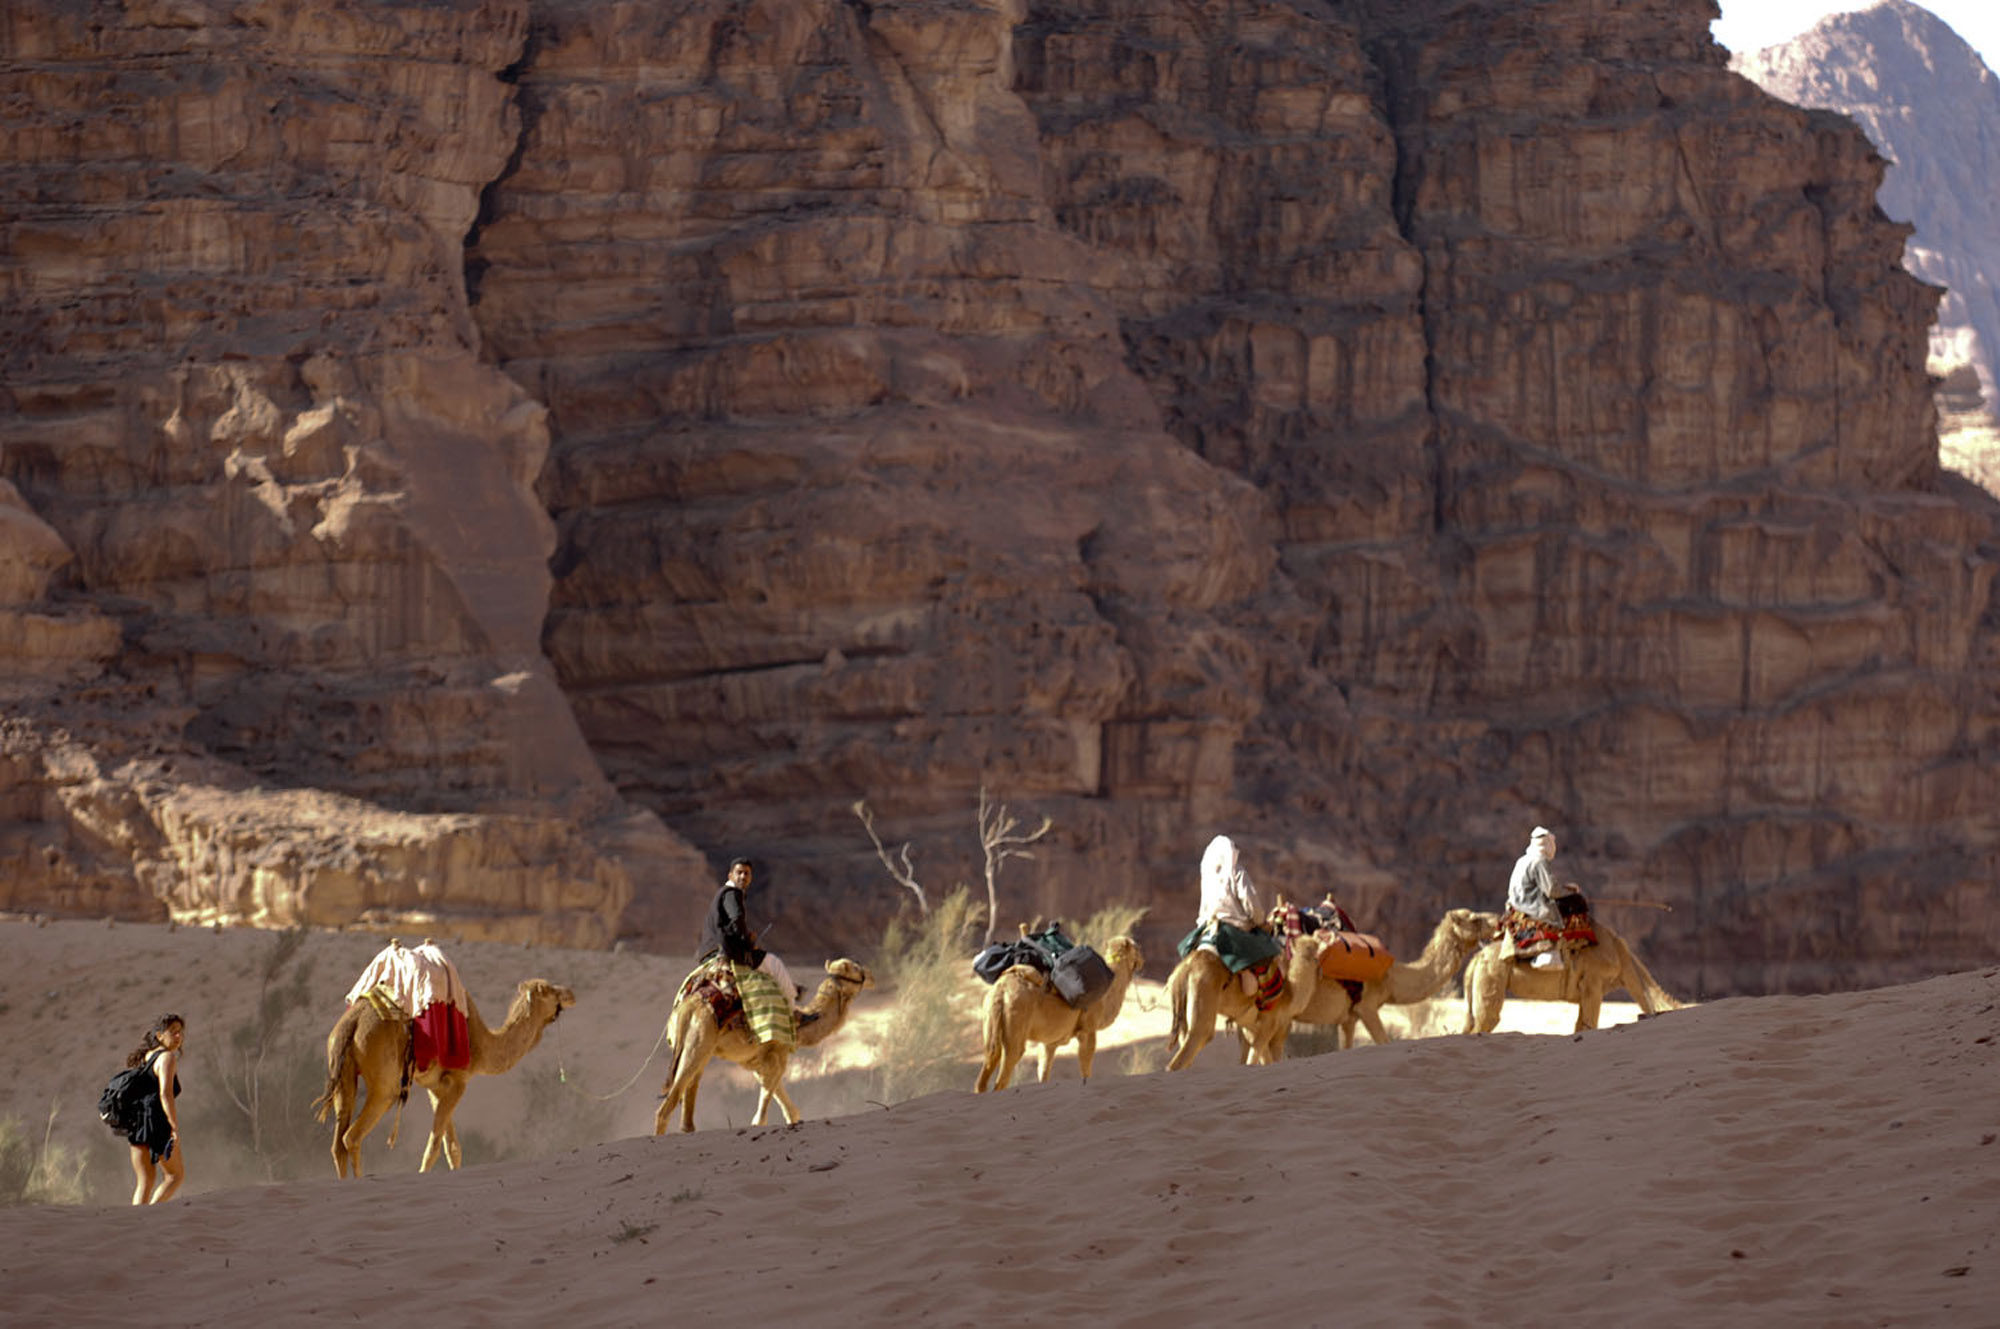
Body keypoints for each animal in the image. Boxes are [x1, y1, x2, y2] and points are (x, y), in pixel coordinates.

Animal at [312, 972, 576, 1176]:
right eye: (549, 990)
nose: (571, 993)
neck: (481, 1043)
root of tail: (353, 1023)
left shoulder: (437, 1087)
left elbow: (453, 1148)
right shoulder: (458, 1082)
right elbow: (434, 1148)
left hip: (343, 1074)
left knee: (338, 1143)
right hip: (385, 1084)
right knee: (352, 1137)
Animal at [656, 956, 876, 1128]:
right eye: (857, 969)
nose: (872, 976)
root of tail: (688, 1006)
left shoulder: (758, 1062)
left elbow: (791, 1111)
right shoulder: (777, 1056)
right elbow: (760, 1119)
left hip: (699, 1051)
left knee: (687, 1119)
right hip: (697, 1046)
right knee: (665, 1109)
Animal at [976, 932, 1152, 1088]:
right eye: (1138, 947)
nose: (1143, 961)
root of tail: (1002, 990)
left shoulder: (1049, 1042)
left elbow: (1044, 1073)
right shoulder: (1088, 1031)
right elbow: (1085, 1068)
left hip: (990, 1020)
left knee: (985, 1072)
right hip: (1016, 1024)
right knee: (1003, 1076)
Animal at [1160, 932, 1328, 1072]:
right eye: (1316, 955)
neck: (1290, 994)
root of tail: (1185, 968)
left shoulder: (1251, 1028)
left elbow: (1260, 1059)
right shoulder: (1270, 1024)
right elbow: (1255, 1059)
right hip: (1203, 997)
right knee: (1196, 1039)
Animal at [1464, 920, 1680, 1032]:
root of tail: (1475, 959)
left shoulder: (1588, 990)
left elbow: (1581, 1024)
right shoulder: (1593, 982)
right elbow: (1590, 1023)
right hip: (1492, 975)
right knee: (1486, 1019)